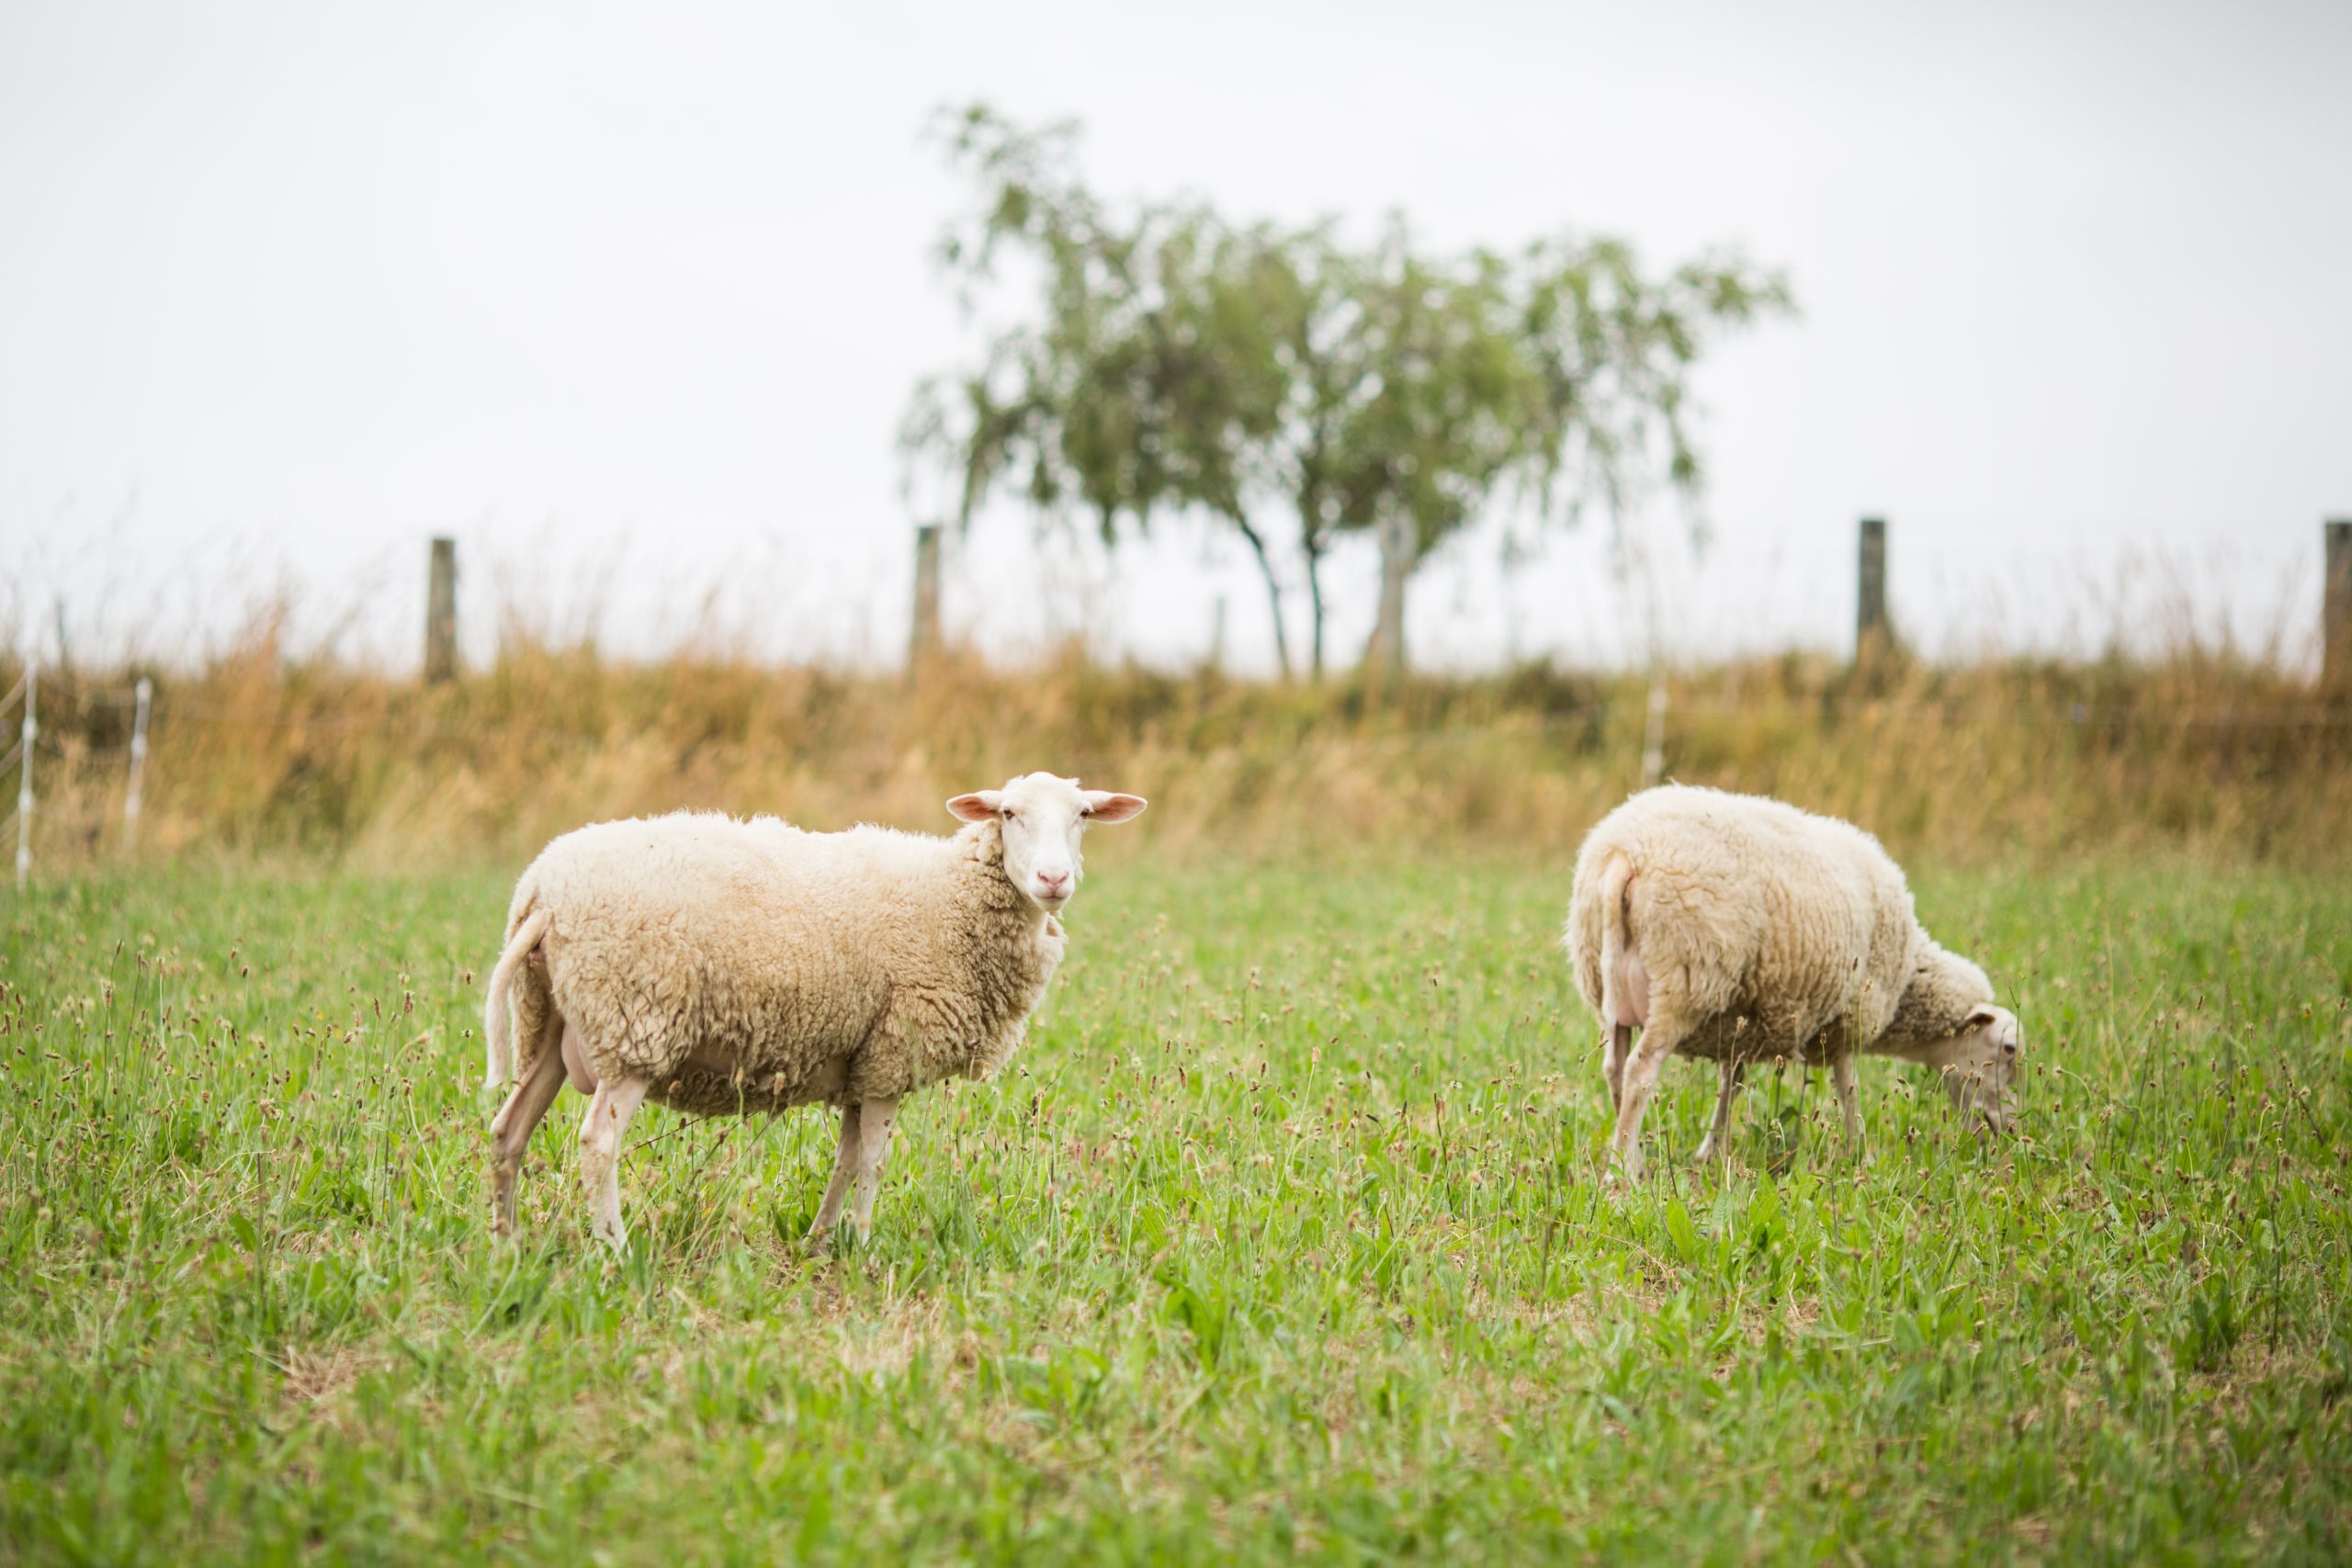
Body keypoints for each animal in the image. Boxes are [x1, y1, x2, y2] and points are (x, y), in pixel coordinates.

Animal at [480, 772, 1147, 1252]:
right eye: (1008, 814)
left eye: (1083, 815)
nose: (1053, 878)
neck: (951, 896)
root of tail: (542, 890)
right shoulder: (893, 1053)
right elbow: (873, 1162)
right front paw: (865, 1246)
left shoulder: (863, 1060)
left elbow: (846, 1159)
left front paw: (821, 1243)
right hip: (633, 1023)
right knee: (597, 1143)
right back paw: (614, 1251)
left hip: (550, 1021)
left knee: (509, 1129)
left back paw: (507, 1245)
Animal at [1562, 784, 2019, 1179]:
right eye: (2009, 1050)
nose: (2009, 1133)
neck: (1908, 981)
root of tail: (1624, 856)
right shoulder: (1849, 1015)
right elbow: (1849, 1087)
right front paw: (1860, 1154)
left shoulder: (1740, 1021)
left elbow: (1731, 1084)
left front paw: (1712, 1151)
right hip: (1685, 979)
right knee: (1639, 1072)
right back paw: (1622, 1174)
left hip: (1609, 985)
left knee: (1614, 1068)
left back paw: (1631, 1158)